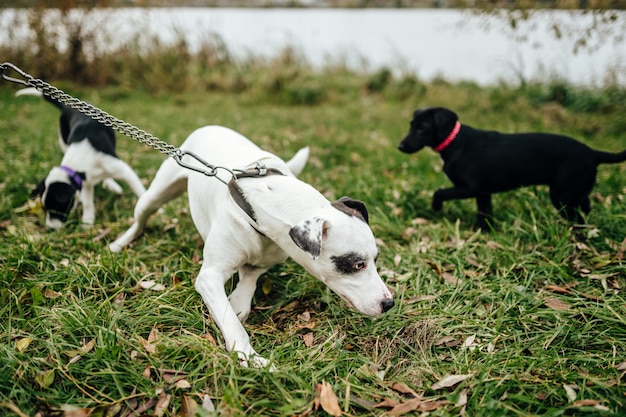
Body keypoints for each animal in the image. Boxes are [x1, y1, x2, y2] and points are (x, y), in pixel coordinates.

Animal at [16, 87, 145, 228]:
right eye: (44, 209)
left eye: (58, 207)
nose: (50, 229)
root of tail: (67, 106)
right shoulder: (86, 182)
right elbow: (88, 202)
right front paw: (87, 222)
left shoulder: (123, 170)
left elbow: (141, 191)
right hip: (63, 139)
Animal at [400, 105, 624, 226]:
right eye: (411, 125)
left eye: (421, 128)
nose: (400, 146)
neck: (455, 142)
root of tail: (593, 153)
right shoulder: (483, 192)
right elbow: (485, 213)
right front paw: (484, 232)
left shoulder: (468, 188)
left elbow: (439, 192)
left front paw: (436, 207)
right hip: (575, 191)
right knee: (585, 206)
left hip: (562, 195)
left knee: (577, 217)